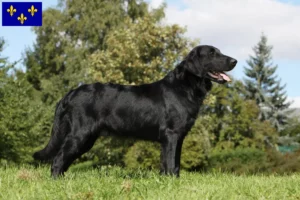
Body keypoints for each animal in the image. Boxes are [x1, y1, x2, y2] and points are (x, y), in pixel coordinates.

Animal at [34, 45, 237, 177]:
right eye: (212, 53)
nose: (234, 60)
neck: (185, 86)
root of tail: (70, 93)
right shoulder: (171, 134)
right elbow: (171, 163)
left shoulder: (177, 137)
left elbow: (173, 163)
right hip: (80, 135)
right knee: (58, 160)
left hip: (86, 139)